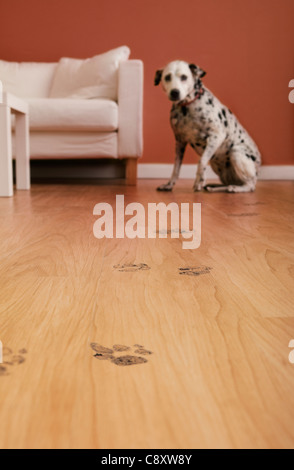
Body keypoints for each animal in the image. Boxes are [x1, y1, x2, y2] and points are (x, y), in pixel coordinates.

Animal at [155, 61, 260, 192]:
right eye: (167, 77)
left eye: (184, 77)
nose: (174, 92)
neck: (187, 107)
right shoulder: (180, 142)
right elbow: (176, 168)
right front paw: (169, 184)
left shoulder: (216, 137)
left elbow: (202, 161)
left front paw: (199, 181)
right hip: (218, 168)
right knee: (228, 183)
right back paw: (214, 187)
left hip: (236, 153)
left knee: (250, 186)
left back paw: (234, 188)